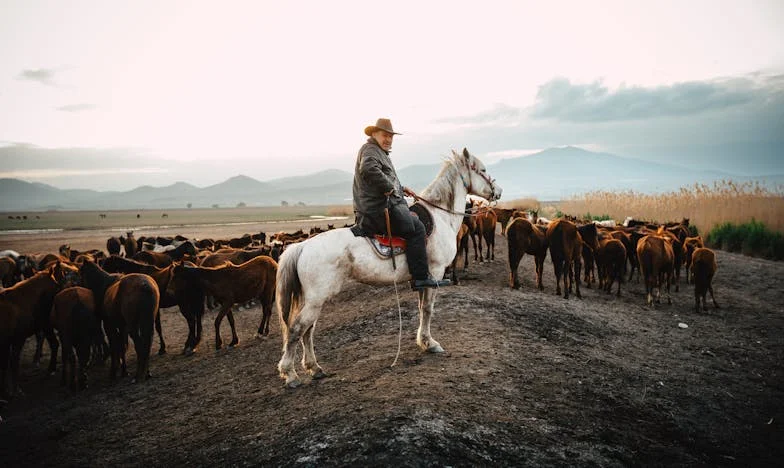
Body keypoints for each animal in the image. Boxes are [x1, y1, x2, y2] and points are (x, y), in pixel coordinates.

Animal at [0, 262, 79, 396]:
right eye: (65, 276)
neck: (18, 303)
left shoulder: (10, 342)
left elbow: (8, 363)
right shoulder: (16, 340)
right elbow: (12, 362)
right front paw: (15, 390)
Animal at [276, 147, 502, 388]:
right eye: (482, 170)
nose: (498, 191)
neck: (442, 217)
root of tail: (302, 246)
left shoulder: (422, 278)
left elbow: (421, 308)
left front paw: (423, 341)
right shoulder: (435, 272)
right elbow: (428, 309)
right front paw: (431, 343)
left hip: (314, 300)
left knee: (308, 331)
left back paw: (314, 368)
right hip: (316, 299)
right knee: (297, 329)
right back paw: (290, 374)